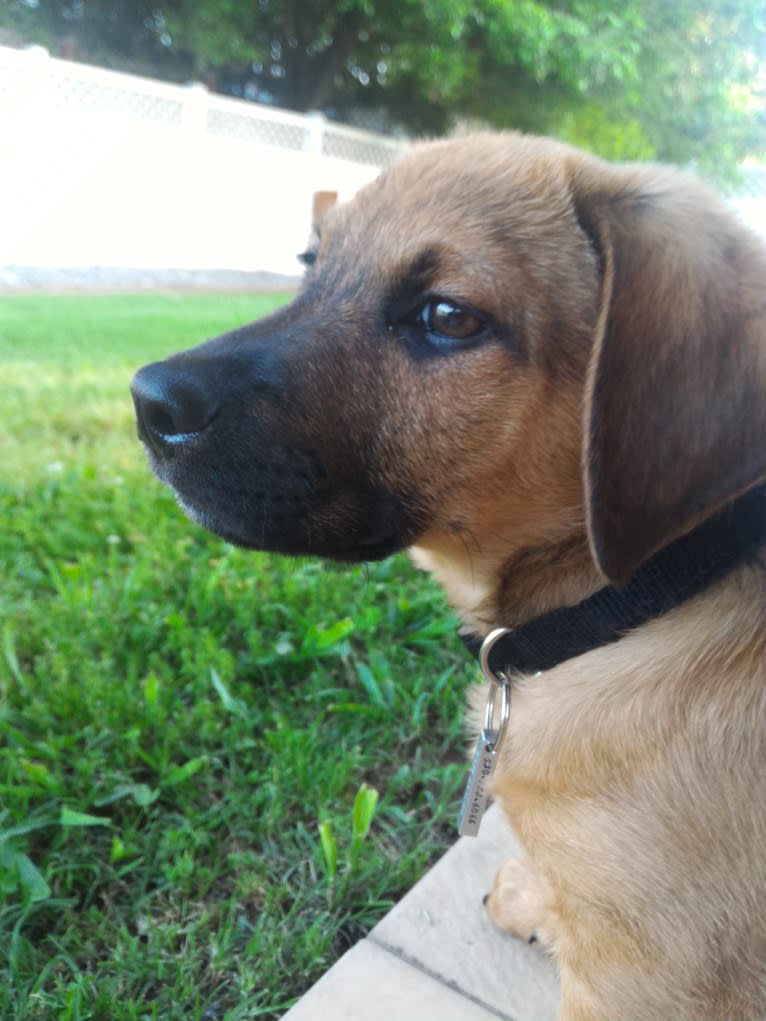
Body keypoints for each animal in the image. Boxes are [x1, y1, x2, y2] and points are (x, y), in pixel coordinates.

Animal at [131, 135, 766, 1021]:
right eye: (311, 264)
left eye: (447, 317)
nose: (148, 403)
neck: (632, 605)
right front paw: (533, 897)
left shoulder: (650, 979)